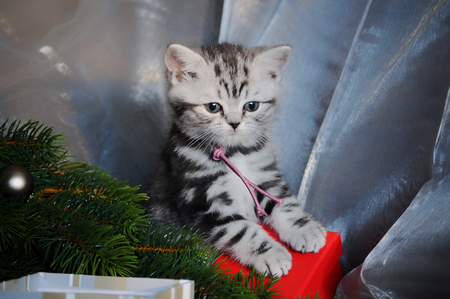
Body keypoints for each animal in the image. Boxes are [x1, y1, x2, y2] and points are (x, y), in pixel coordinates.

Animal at [146, 43, 326, 278]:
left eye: (251, 106)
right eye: (213, 107)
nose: (234, 123)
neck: (234, 154)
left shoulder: (266, 176)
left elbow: (284, 202)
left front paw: (306, 228)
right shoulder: (201, 199)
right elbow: (241, 230)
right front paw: (270, 254)